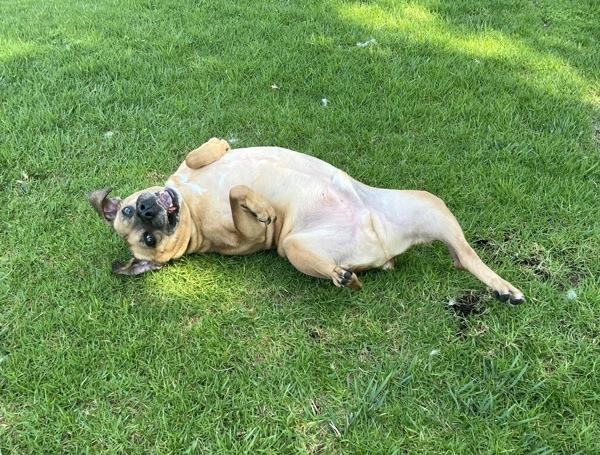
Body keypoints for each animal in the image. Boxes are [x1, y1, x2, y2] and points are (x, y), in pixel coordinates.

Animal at [89, 137, 524, 304]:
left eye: (128, 210)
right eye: (147, 240)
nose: (148, 211)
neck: (192, 210)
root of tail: (384, 248)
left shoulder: (183, 173)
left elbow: (199, 156)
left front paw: (218, 146)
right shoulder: (247, 235)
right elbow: (238, 194)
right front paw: (262, 206)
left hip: (428, 204)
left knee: (465, 255)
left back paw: (504, 287)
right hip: (296, 247)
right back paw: (343, 276)